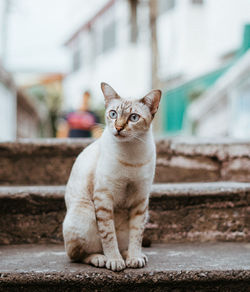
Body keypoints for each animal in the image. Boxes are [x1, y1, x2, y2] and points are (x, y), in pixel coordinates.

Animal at [61, 82, 161, 272]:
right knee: (77, 255)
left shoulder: (141, 199)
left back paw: (133, 255)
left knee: (124, 244)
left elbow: (137, 234)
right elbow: (108, 235)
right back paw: (101, 258)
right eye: (113, 114)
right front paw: (114, 261)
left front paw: (134, 257)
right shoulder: (104, 197)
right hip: (85, 214)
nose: (118, 128)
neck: (131, 154)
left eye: (133, 117)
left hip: (144, 214)